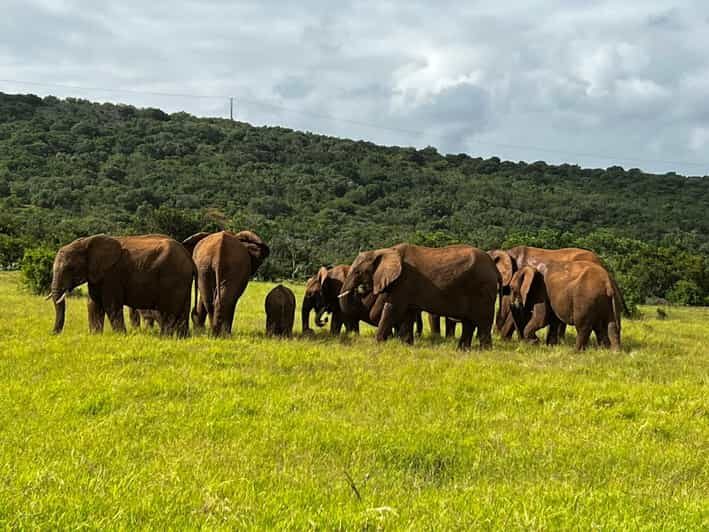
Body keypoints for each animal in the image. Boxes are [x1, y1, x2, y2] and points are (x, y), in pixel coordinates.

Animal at [49, 234, 194, 337]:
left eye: (70, 268)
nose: (53, 334)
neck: (86, 242)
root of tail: (189, 258)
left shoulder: (112, 274)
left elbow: (111, 304)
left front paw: (120, 336)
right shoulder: (97, 275)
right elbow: (94, 304)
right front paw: (95, 335)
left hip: (173, 278)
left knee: (168, 310)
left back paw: (165, 337)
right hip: (183, 281)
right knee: (182, 311)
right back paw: (182, 337)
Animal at [339, 244, 499, 349]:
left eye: (358, 272)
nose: (360, 290)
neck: (385, 251)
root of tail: (493, 266)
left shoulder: (403, 281)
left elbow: (392, 309)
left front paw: (378, 345)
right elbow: (408, 313)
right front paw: (407, 346)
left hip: (483, 288)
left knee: (483, 320)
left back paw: (484, 351)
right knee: (469, 321)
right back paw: (462, 350)